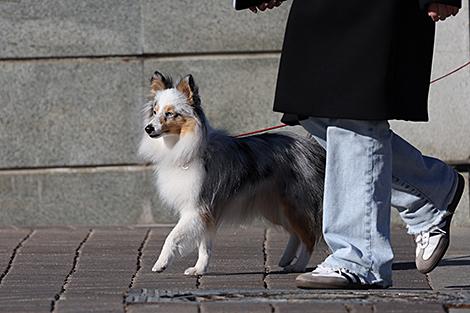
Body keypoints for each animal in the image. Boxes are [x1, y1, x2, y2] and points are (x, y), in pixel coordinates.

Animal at [138, 71, 324, 276]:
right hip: (276, 207)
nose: (148, 128)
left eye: (170, 113)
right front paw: (199, 269)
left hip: (294, 203)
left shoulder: (197, 208)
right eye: (155, 112)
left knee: (309, 236)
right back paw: (286, 261)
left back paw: (299, 266)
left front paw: (161, 263)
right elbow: (204, 246)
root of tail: (311, 145)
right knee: (296, 233)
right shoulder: (206, 212)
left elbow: (171, 236)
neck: (183, 147)